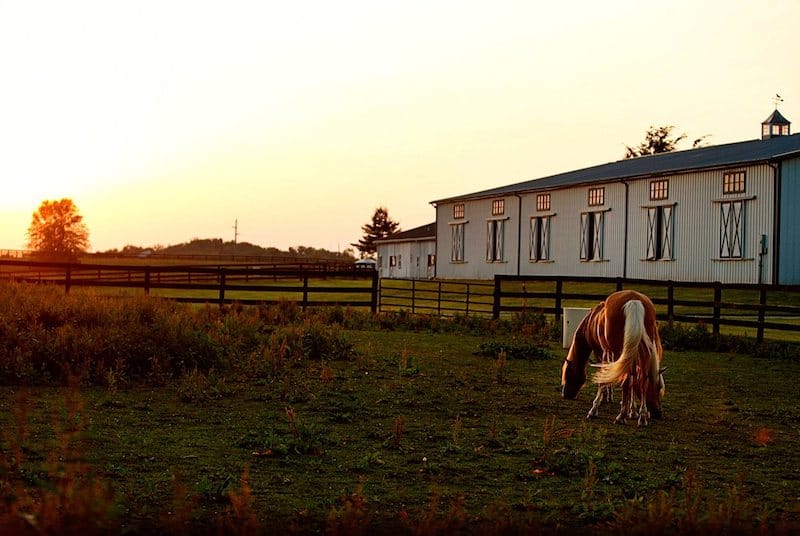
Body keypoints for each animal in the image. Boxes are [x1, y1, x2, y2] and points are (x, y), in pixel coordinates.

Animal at [560, 288, 664, 428]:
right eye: (657, 388)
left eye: (567, 374)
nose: (565, 394)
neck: (592, 320)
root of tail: (634, 301)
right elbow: (632, 380)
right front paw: (632, 410)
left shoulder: (602, 352)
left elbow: (605, 377)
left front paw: (602, 402)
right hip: (641, 352)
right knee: (642, 379)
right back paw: (641, 418)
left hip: (620, 351)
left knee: (626, 380)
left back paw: (620, 416)